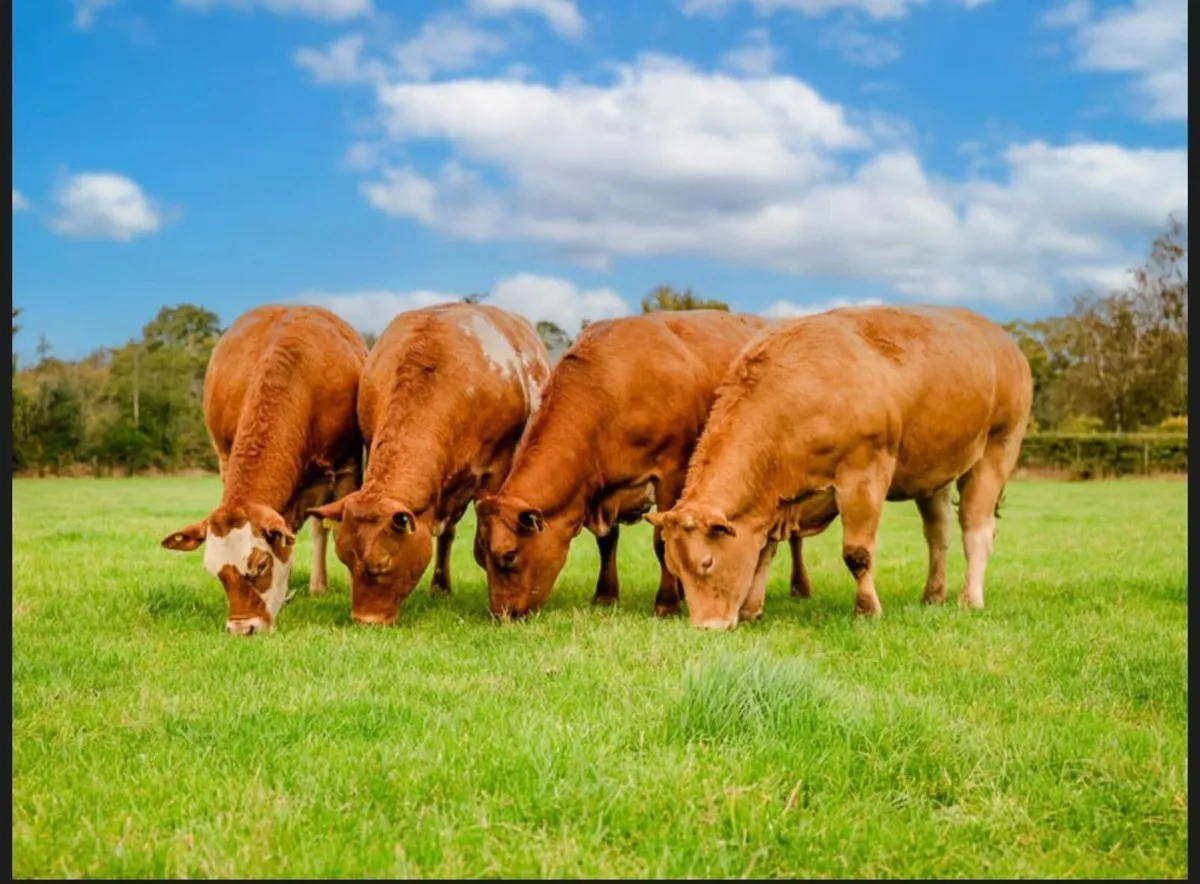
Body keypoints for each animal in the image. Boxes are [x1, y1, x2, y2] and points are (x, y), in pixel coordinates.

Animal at [474, 309, 813, 621]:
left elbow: (662, 542)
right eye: (479, 557)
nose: (501, 615)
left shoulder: (671, 472)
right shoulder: (603, 488)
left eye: (508, 555)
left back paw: (799, 588)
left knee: (794, 535)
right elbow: (607, 540)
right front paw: (606, 594)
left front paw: (666, 603)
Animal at [647, 305, 1033, 630]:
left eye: (707, 563)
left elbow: (857, 554)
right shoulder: (777, 502)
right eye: (675, 567)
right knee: (939, 533)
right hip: (935, 473)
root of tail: (1002, 341)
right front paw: (751, 608)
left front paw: (867, 609)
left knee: (976, 530)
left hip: (996, 451)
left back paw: (970, 598)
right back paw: (933, 595)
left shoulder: (862, 477)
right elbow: (764, 552)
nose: (705, 627)